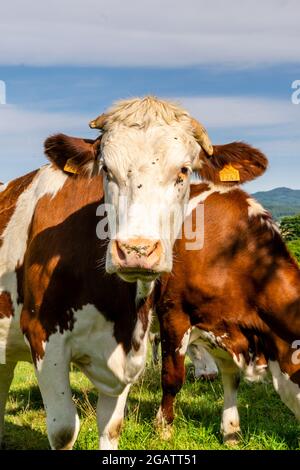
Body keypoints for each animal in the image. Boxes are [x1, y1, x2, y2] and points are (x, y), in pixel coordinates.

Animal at [156, 145, 300, 446]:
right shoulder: (173, 312)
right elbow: (172, 376)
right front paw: (163, 429)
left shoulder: (226, 325)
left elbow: (231, 378)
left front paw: (231, 431)